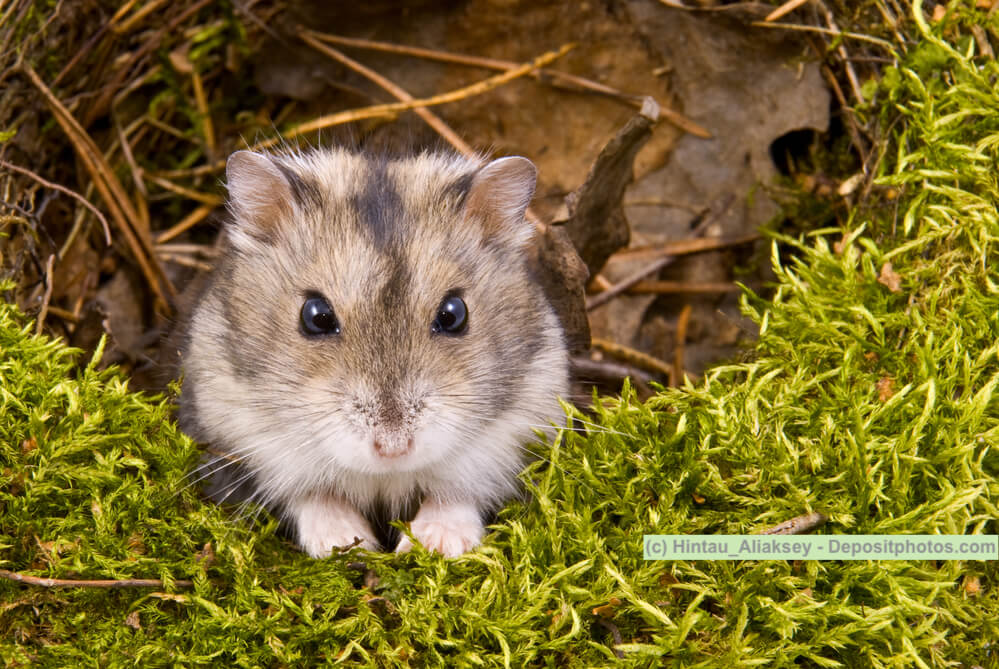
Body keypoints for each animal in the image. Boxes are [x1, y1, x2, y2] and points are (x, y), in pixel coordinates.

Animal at [178, 147, 569, 557]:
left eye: (454, 314)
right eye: (315, 316)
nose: (393, 449)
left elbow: (457, 494)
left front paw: (433, 545)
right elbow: (311, 495)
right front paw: (348, 544)